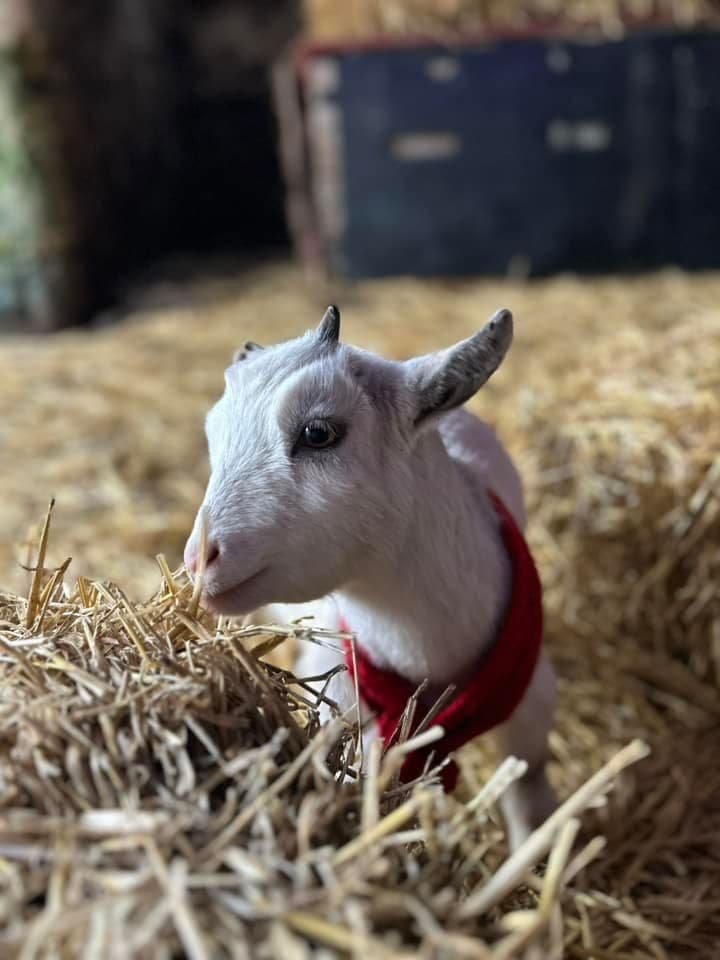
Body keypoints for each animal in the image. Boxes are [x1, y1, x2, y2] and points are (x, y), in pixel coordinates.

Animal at [184, 306, 557, 850]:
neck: (426, 654)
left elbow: (531, 802)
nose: (200, 558)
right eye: (213, 435)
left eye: (318, 432)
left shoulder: (530, 709)